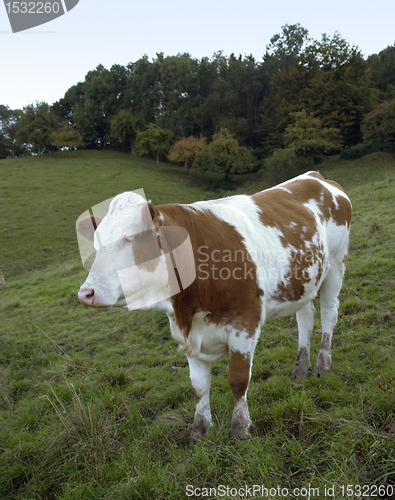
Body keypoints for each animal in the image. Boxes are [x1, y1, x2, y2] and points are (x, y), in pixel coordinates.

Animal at [77, 171, 352, 442]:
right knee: (306, 316)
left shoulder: (244, 323)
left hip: (336, 264)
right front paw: (199, 432)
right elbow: (199, 386)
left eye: (129, 239)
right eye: (95, 245)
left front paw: (240, 429)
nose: (86, 293)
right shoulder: (189, 335)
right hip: (303, 282)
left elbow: (237, 379)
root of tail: (316, 176)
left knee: (329, 313)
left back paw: (322, 365)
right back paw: (300, 368)